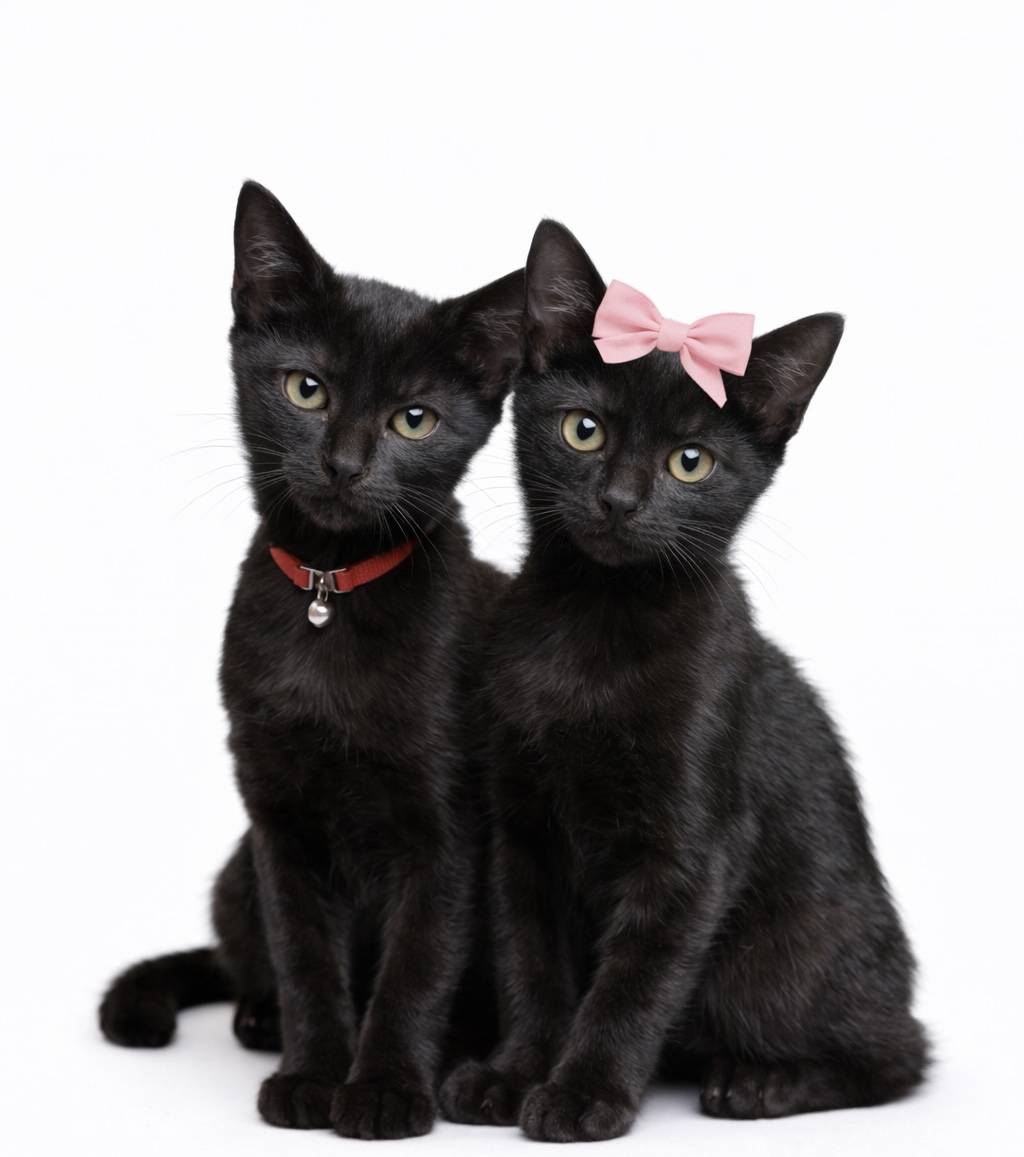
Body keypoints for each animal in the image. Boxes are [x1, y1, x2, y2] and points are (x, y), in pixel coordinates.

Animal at [99, 181, 522, 1139]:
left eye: (414, 419)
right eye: (307, 388)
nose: (343, 464)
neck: (331, 592)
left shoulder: (446, 828)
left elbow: (415, 965)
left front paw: (385, 1089)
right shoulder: (278, 817)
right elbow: (305, 960)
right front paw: (314, 1076)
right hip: (237, 865)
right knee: (245, 959)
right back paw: (259, 1021)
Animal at [440, 220, 928, 1141]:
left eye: (690, 462)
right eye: (584, 431)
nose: (622, 500)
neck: (597, 629)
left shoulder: (692, 846)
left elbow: (635, 978)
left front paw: (581, 1093)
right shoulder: (520, 829)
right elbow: (531, 960)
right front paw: (513, 1073)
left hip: (775, 965)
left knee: (898, 1054)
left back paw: (760, 1082)